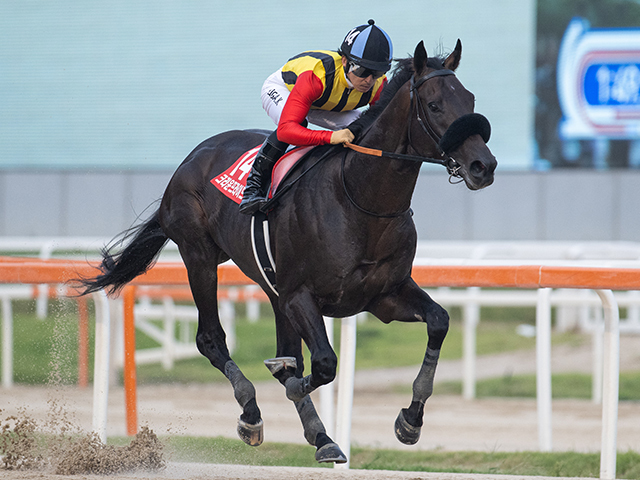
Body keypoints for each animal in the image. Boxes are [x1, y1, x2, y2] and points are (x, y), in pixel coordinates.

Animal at [80, 42, 498, 464]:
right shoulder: (301, 295)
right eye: (434, 105)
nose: (484, 166)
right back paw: (252, 415)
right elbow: (324, 364)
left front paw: (410, 421)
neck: (360, 199)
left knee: (284, 353)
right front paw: (293, 389)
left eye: (470, 100)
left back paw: (321, 435)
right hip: (199, 256)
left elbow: (439, 321)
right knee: (211, 339)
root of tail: (192, 158)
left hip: (271, 286)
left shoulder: (384, 296)